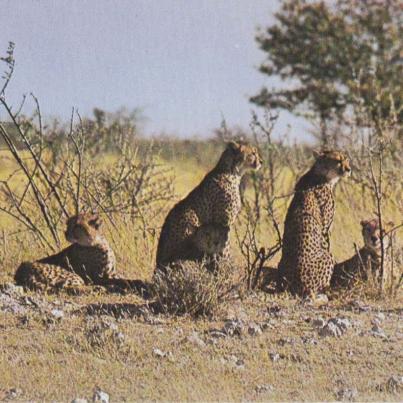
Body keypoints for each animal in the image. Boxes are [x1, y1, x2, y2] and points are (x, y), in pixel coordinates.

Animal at [156, 140, 264, 274]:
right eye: (253, 153)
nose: (261, 162)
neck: (232, 171)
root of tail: (158, 266)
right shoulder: (224, 222)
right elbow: (225, 245)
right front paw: (226, 264)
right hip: (191, 222)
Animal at [278, 150, 350, 298]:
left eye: (347, 160)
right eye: (338, 161)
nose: (349, 169)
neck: (321, 174)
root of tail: (291, 286)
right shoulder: (325, 229)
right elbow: (327, 244)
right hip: (327, 258)